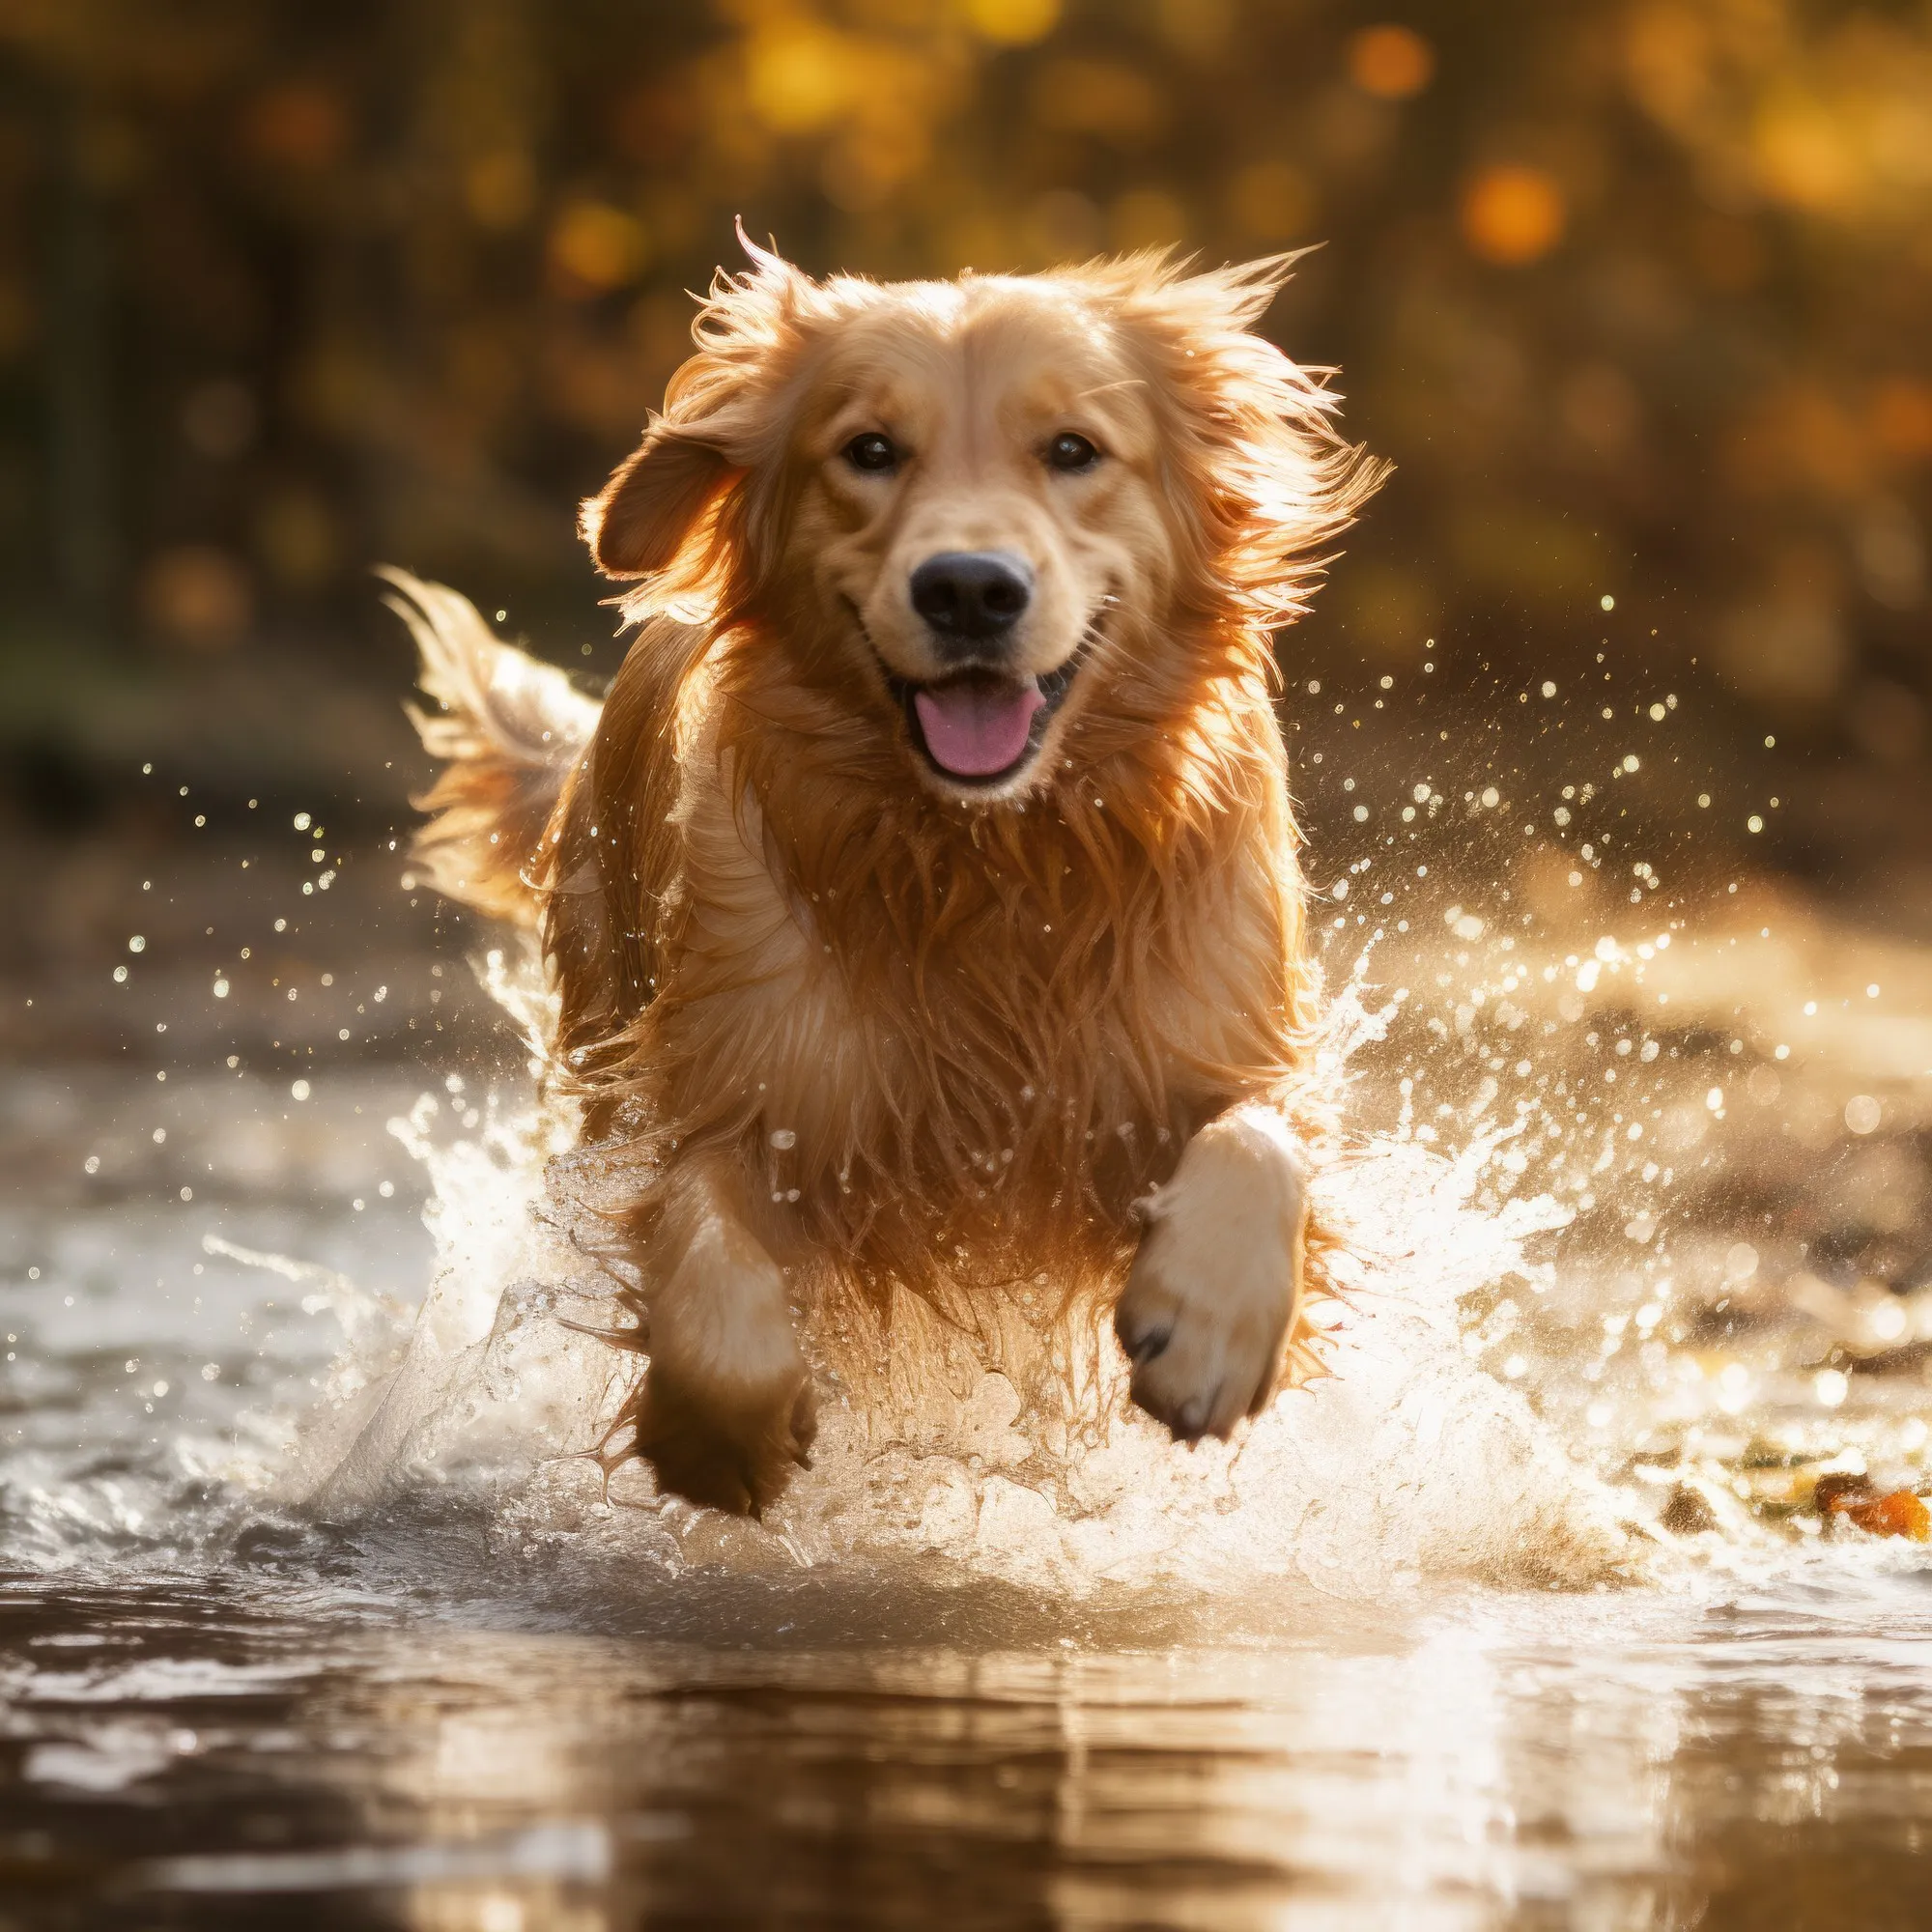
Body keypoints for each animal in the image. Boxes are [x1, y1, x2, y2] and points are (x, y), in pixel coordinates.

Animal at [392, 238, 1383, 1507]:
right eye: (868, 449)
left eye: (1072, 450)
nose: (968, 588)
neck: (990, 863)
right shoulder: (729, 1091)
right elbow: (697, 1236)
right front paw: (721, 1434)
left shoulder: (1218, 1036)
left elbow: (1260, 1139)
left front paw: (1208, 1323)